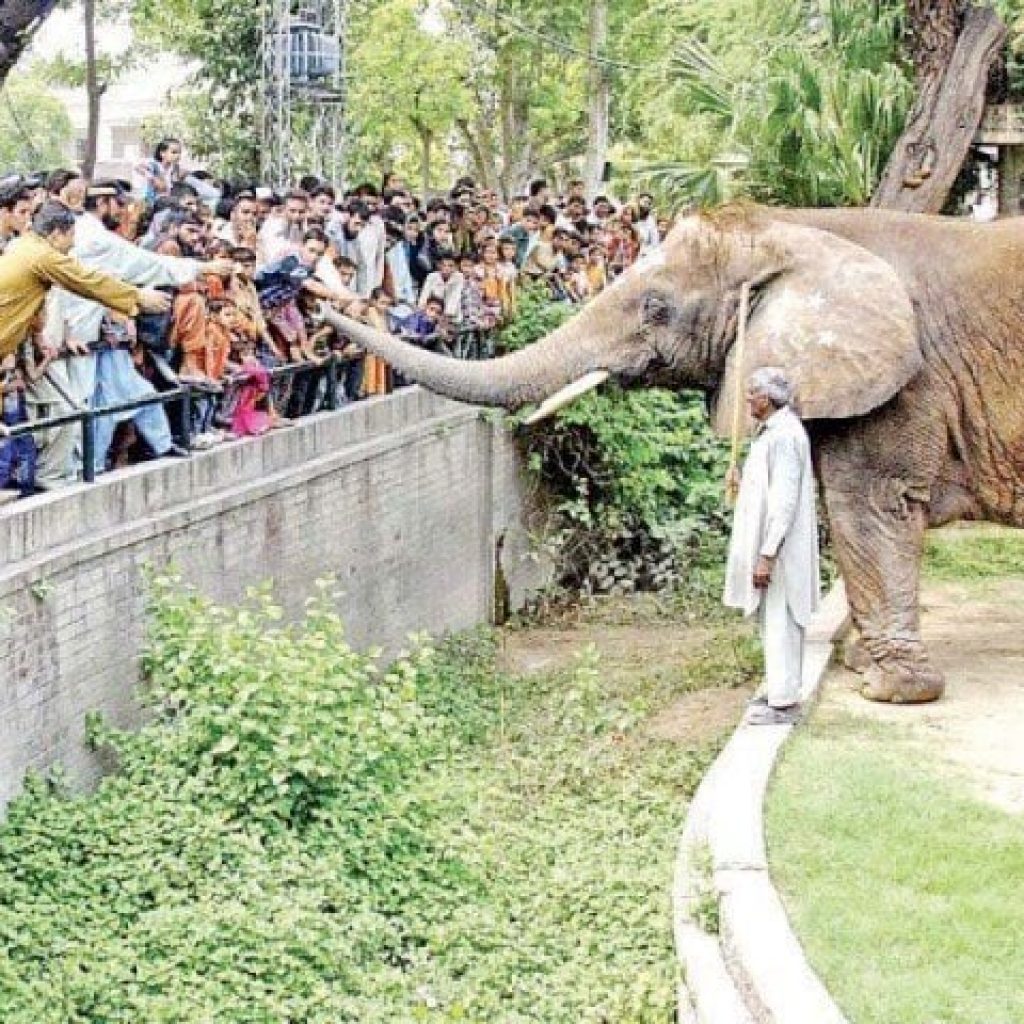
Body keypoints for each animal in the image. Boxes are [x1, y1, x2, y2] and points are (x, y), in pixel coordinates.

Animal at [323, 207, 1024, 704]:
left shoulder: (908, 384)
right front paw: (863, 666)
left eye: (656, 308)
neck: (797, 228)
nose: (325, 310)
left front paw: (888, 690)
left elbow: (872, 506)